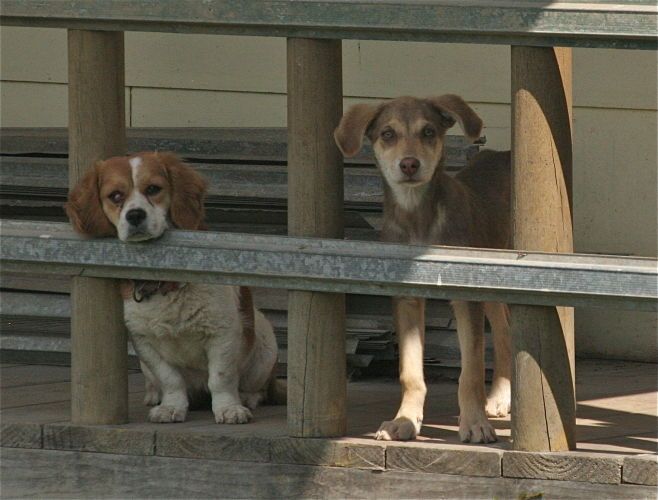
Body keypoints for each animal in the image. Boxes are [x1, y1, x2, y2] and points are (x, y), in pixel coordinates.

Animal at [65, 151, 280, 422]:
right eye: (115, 196)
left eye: (153, 189)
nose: (135, 215)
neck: (163, 284)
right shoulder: (145, 342)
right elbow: (170, 379)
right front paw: (171, 406)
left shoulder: (223, 334)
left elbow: (220, 379)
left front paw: (229, 408)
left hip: (264, 345)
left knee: (256, 386)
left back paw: (248, 397)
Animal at [336, 94, 510, 442]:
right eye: (387, 134)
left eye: (428, 131)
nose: (409, 164)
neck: (418, 218)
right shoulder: (407, 298)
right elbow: (410, 372)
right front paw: (404, 421)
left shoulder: (465, 297)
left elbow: (470, 372)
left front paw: (474, 423)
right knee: (503, 330)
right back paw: (499, 398)